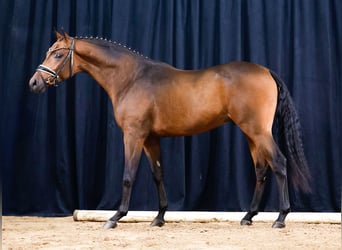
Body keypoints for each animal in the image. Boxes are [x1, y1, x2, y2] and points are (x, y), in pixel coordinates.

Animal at [29, 30, 312, 229]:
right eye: (50, 51)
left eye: (57, 54)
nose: (34, 83)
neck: (132, 78)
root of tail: (266, 71)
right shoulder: (150, 139)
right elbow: (158, 175)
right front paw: (159, 217)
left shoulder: (133, 135)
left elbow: (128, 175)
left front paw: (115, 217)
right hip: (251, 134)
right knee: (262, 170)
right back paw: (248, 216)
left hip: (258, 132)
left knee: (279, 164)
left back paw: (280, 218)